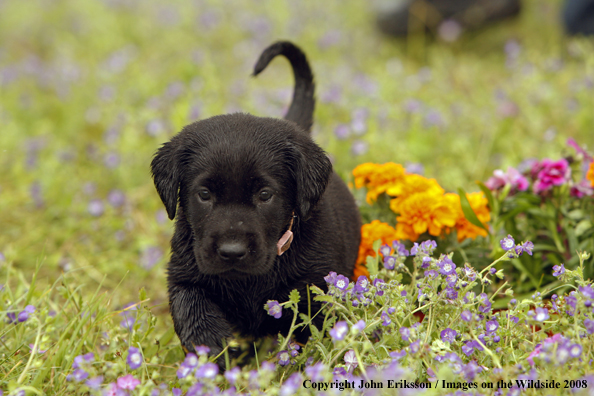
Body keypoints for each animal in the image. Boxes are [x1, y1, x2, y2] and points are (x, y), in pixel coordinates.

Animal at [150, 41, 358, 366]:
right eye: (204, 194)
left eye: (264, 194)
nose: (232, 252)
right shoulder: (185, 273)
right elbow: (191, 310)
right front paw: (213, 348)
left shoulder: (318, 286)